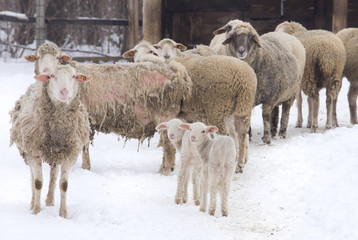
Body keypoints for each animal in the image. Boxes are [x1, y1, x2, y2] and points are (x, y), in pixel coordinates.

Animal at [9, 63, 91, 218]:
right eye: (52, 76)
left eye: (73, 76)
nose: (64, 92)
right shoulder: (34, 152)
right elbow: (37, 182)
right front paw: (36, 210)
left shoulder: (69, 154)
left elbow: (64, 185)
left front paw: (63, 214)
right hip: (29, 151)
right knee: (32, 176)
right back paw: (33, 203)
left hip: (56, 154)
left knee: (53, 174)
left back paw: (50, 200)